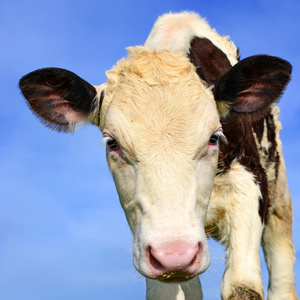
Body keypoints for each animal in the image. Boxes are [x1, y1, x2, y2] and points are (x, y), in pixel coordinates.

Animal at [19, 11, 298, 300]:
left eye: (213, 138)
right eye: (113, 143)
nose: (175, 254)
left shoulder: (249, 183)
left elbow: (242, 285)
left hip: (279, 197)